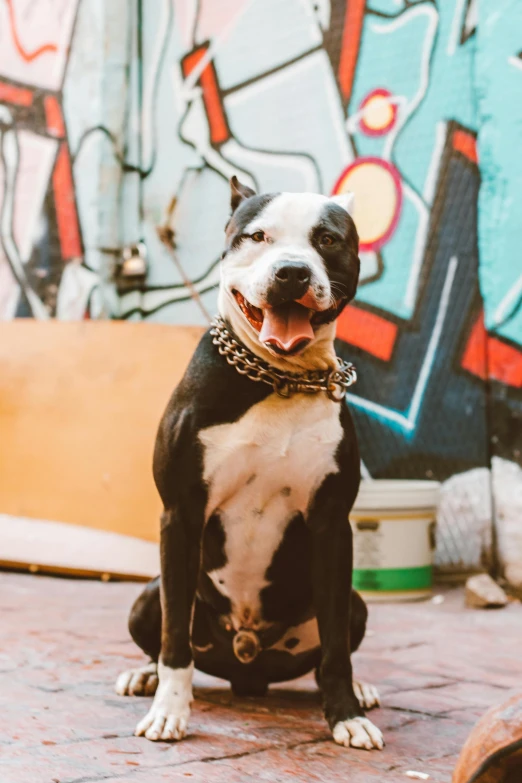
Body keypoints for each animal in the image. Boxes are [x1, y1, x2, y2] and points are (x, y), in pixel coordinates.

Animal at [117, 179, 382, 752]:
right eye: (257, 236)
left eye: (328, 240)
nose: (292, 272)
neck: (277, 379)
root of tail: (245, 660)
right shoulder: (180, 514)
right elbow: (175, 641)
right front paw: (169, 711)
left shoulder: (332, 526)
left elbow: (336, 651)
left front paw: (346, 715)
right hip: (147, 596)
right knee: (164, 634)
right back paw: (145, 677)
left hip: (355, 602)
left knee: (333, 644)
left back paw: (361, 689)